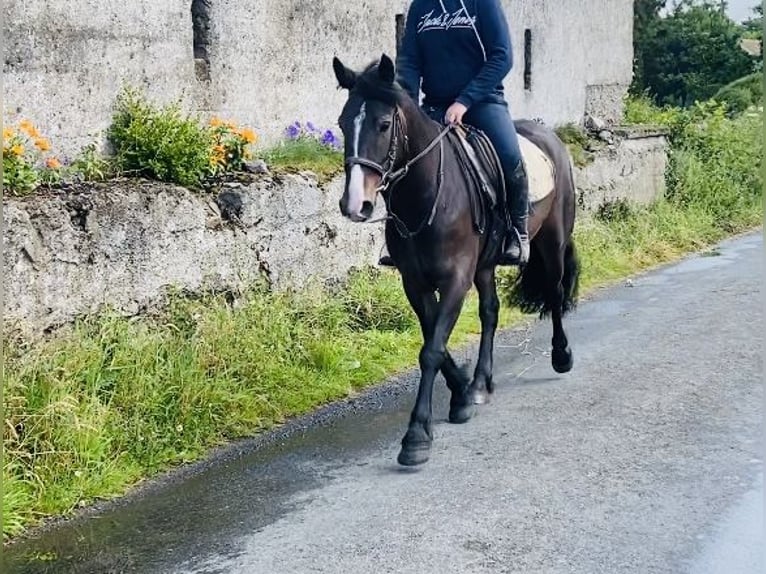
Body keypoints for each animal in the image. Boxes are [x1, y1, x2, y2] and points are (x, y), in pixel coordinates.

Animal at [332, 54, 580, 468]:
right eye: (341, 123)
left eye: (383, 124)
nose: (355, 204)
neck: (429, 195)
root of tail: (551, 139)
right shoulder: (416, 283)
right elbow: (435, 340)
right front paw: (463, 391)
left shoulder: (456, 278)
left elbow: (431, 350)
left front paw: (416, 436)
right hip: (485, 266)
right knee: (491, 312)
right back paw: (481, 382)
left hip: (552, 242)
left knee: (555, 292)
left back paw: (561, 356)